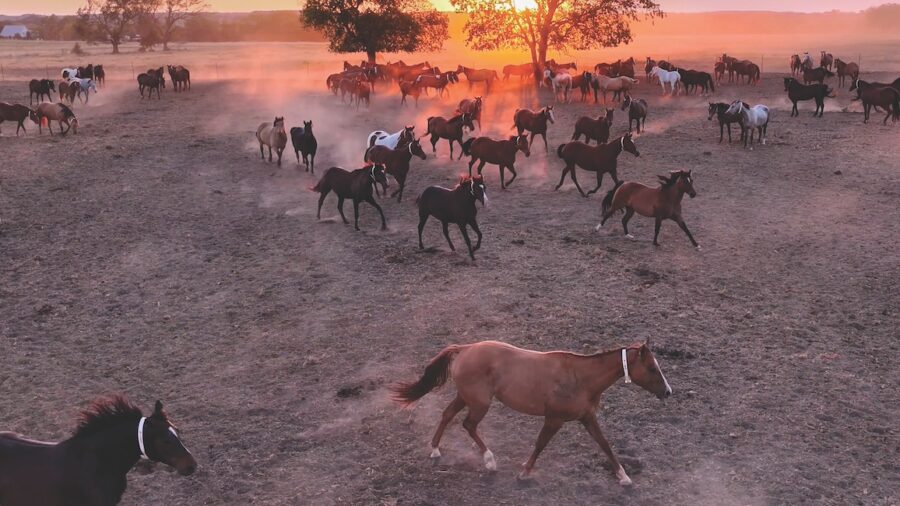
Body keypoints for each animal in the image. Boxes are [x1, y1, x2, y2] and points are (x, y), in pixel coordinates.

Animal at [391, 340, 671, 484]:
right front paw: (524, 472)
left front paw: (624, 476)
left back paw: (435, 450)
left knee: (447, 415)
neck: (581, 378)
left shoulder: (587, 418)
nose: (668, 392)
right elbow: (540, 444)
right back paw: (490, 461)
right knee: (468, 425)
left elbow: (604, 444)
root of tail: (465, 349)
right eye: (652, 368)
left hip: (466, 397)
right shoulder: (554, 419)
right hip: (480, 403)